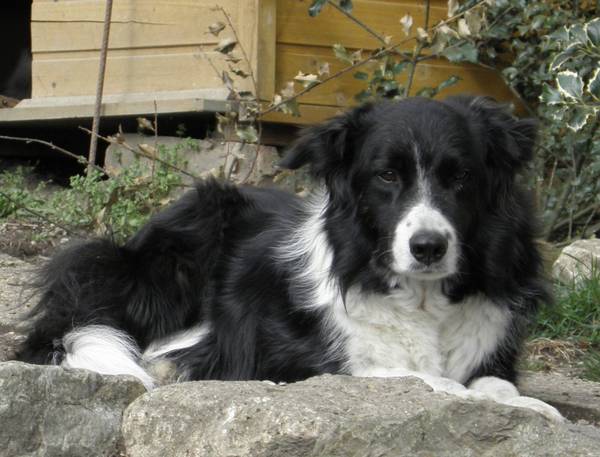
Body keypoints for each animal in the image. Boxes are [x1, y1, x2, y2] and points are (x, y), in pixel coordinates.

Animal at [16, 96, 562, 420]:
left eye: (460, 177)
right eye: (386, 176)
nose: (428, 247)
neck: (422, 299)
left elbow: (495, 384)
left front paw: (527, 405)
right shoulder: (281, 358)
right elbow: (418, 376)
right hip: (182, 247)